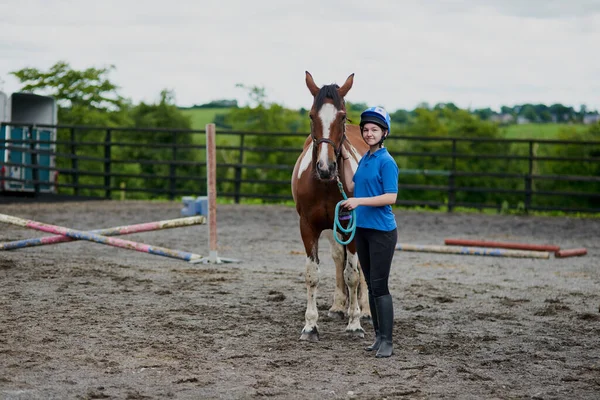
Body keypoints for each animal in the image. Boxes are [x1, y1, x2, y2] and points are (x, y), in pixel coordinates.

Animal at [290, 71, 370, 340]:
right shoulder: (308, 227)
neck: (325, 184)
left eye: (342, 116)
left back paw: (365, 310)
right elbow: (312, 274)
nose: (326, 167)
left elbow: (353, 274)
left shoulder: (352, 226)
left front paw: (355, 323)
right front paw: (310, 326)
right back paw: (338, 307)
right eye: (311, 115)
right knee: (338, 258)